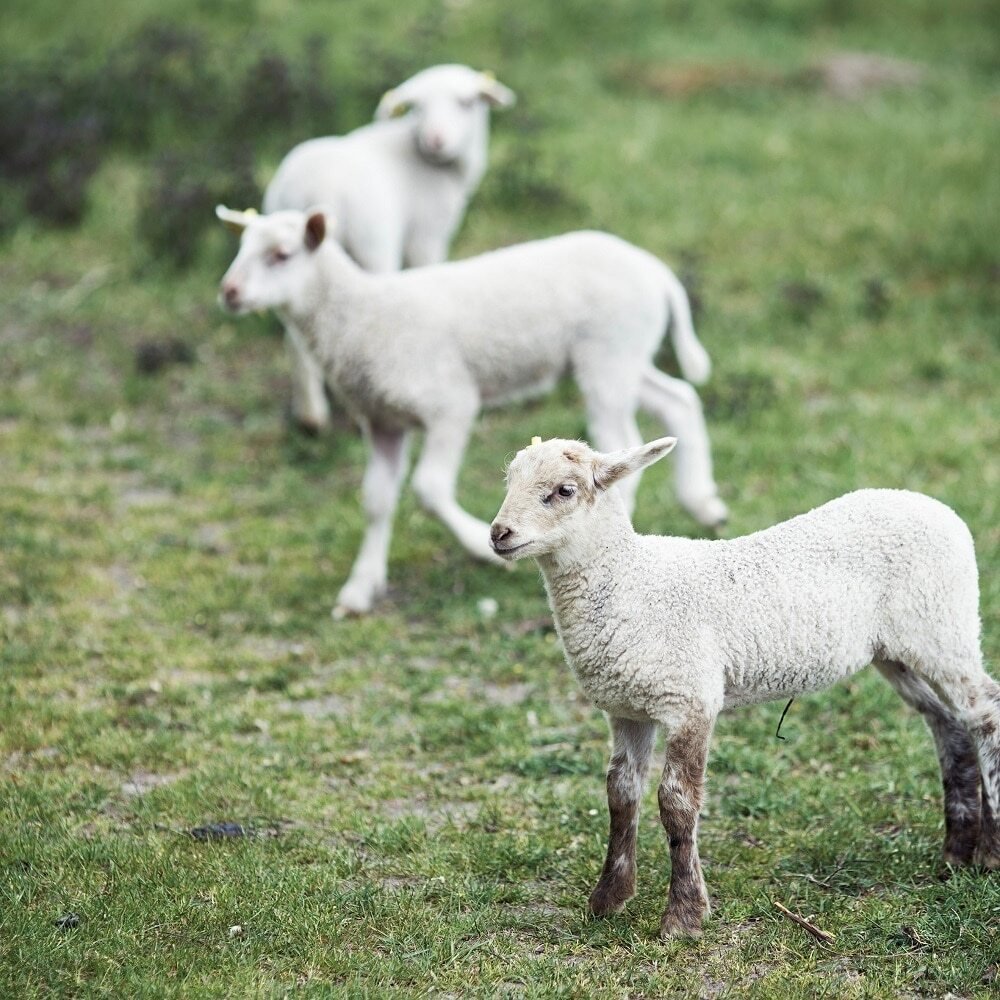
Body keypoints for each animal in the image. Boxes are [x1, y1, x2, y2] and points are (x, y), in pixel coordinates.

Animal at [213, 206, 728, 616]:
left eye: (281, 255)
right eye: (241, 246)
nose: (229, 292)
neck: (361, 315)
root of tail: (655, 270)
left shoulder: (449, 404)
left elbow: (427, 487)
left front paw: (478, 544)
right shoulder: (381, 421)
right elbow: (376, 499)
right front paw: (360, 587)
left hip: (609, 352)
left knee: (622, 439)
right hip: (623, 355)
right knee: (679, 399)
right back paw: (703, 501)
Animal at [262, 63, 516, 434]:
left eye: (466, 103)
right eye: (418, 108)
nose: (436, 140)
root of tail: (316, 191)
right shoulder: (427, 234)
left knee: (296, 336)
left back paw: (312, 416)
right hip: (373, 246)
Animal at [492, 436, 1000, 936]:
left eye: (564, 490)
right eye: (509, 479)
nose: (499, 534)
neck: (630, 581)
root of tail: (939, 509)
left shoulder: (691, 699)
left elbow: (676, 803)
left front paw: (684, 917)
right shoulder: (627, 710)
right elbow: (621, 794)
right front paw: (608, 898)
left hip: (941, 624)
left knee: (984, 713)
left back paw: (989, 852)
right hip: (895, 650)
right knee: (949, 722)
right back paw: (956, 850)